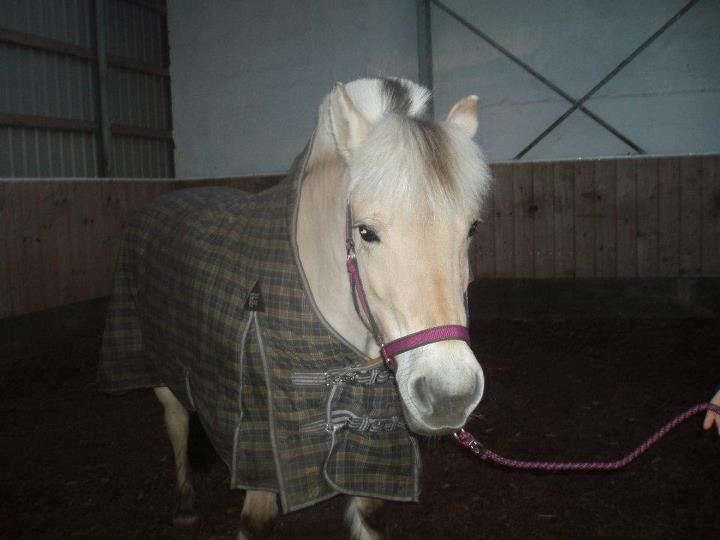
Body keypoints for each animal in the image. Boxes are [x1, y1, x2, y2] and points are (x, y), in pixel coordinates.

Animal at [98, 77, 493, 539]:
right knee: (176, 420)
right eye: (365, 232)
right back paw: (184, 504)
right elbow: (255, 521)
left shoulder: (372, 450)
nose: (450, 395)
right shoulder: (262, 452)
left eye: (471, 228)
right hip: (156, 366)